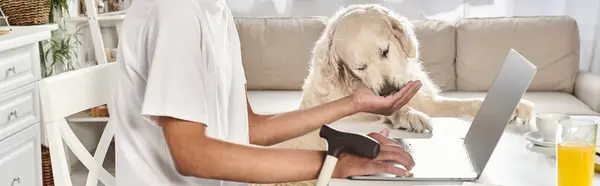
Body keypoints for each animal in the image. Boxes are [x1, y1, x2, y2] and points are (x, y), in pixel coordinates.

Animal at [258, 3, 536, 186]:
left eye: (384, 51)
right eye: (360, 67)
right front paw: (408, 115)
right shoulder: (346, 115)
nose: (388, 91)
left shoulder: (429, 100)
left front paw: (516, 107)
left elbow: (465, 103)